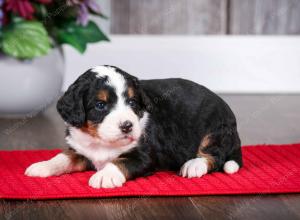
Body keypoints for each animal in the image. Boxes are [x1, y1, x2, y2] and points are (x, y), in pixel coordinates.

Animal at [24, 65, 243, 189]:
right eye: (100, 105)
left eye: (132, 102)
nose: (127, 126)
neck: (101, 142)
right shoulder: (81, 149)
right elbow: (63, 157)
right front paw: (42, 166)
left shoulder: (144, 156)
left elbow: (120, 162)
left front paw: (104, 176)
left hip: (215, 130)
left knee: (215, 156)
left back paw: (194, 165)